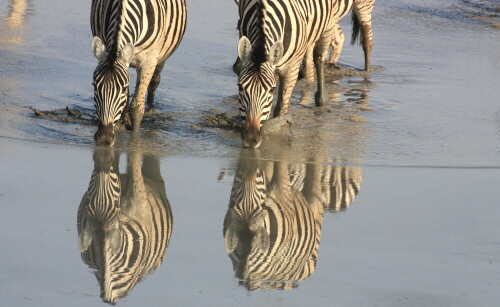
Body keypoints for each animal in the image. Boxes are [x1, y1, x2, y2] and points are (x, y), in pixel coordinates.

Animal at [89, 0, 186, 146]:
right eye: (95, 86)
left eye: (122, 89)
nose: (104, 138)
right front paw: (119, 127)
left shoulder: (148, 61)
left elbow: (136, 108)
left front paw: (134, 139)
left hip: (162, 57)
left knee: (154, 83)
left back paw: (151, 108)